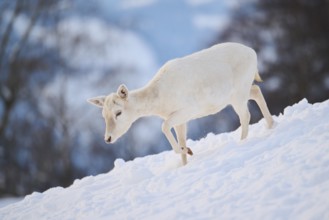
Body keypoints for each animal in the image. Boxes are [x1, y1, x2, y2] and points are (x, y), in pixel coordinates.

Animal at [87, 42, 272, 164]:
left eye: (118, 112)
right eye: (103, 115)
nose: (108, 138)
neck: (160, 101)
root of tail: (253, 52)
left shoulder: (188, 110)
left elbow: (163, 127)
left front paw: (187, 150)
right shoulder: (179, 120)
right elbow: (180, 138)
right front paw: (186, 156)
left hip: (238, 93)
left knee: (245, 115)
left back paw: (243, 142)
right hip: (240, 91)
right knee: (256, 90)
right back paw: (271, 125)